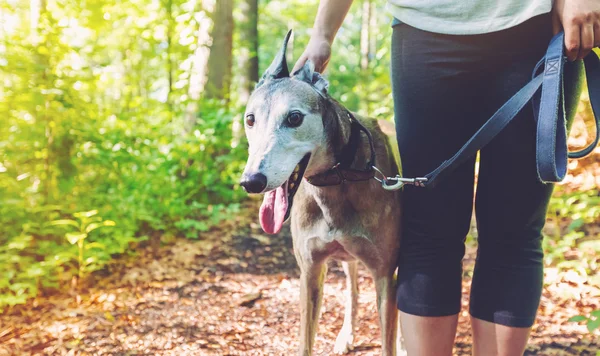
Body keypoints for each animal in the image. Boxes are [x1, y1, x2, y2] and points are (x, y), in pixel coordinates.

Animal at [239, 31, 404, 356]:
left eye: (294, 118)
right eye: (250, 119)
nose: (251, 181)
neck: (338, 179)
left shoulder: (384, 275)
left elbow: (388, 340)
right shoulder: (310, 272)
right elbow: (306, 341)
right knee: (352, 288)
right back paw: (346, 335)